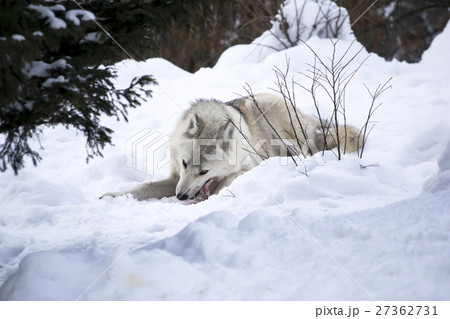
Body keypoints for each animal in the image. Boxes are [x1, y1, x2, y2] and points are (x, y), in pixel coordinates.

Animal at [100, 94, 360, 201]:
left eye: (204, 172)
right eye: (184, 164)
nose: (180, 196)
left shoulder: (247, 168)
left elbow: (223, 183)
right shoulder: (175, 177)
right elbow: (143, 187)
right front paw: (112, 195)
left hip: (274, 118)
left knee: (304, 150)